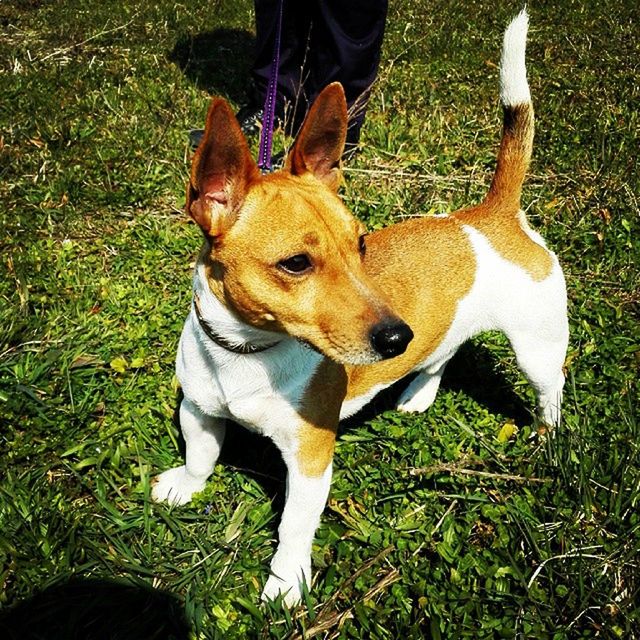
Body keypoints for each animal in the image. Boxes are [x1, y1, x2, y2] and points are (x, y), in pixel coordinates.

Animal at [151, 12, 568, 608]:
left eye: (361, 243)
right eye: (296, 263)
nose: (397, 337)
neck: (248, 352)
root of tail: (495, 214)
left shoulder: (310, 459)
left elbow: (294, 527)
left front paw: (285, 583)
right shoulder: (200, 409)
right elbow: (200, 454)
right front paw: (187, 486)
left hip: (537, 344)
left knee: (550, 386)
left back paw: (547, 435)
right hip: (451, 331)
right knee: (441, 354)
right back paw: (418, 395)